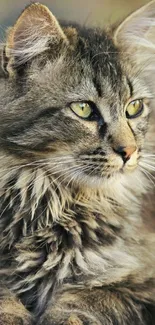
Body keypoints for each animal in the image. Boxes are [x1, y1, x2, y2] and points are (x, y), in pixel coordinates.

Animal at [0, 0, 154, 324]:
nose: (129, 151)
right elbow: (4, 298)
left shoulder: (141, 280)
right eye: (83, 109)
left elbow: (89, 298)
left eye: (134, 107)